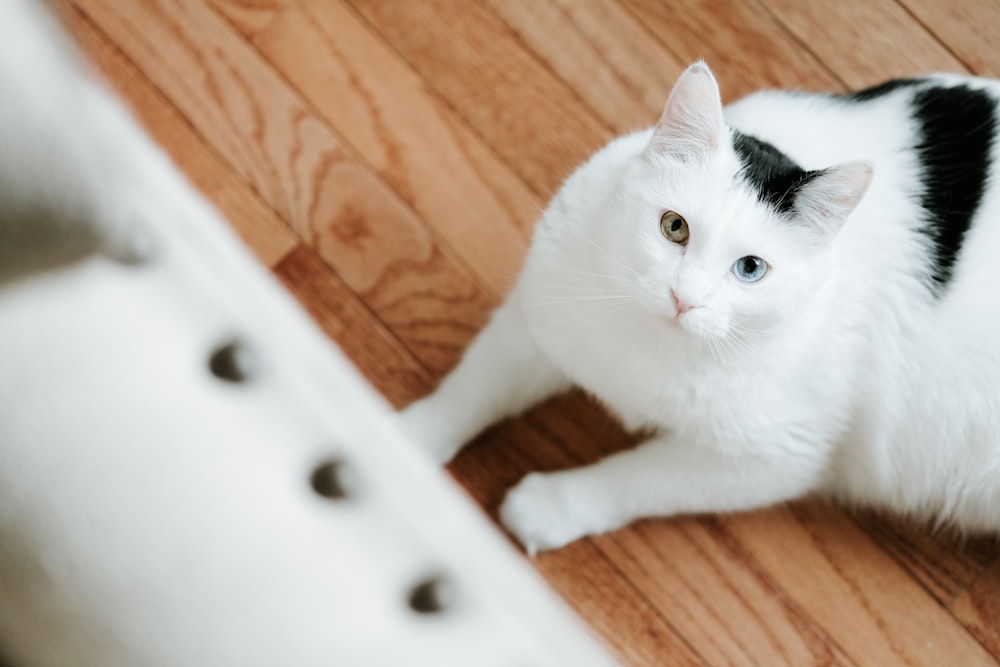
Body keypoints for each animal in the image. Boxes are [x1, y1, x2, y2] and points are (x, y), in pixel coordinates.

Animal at [396, 61, 1000, 552]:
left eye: (751, 268)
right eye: (674, 227)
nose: (684, 297)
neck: (648, 344)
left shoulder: (776, 458)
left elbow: (639, 479)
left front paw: (552, 506)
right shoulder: (539, 319)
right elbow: (473, 389)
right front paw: (399, 444)